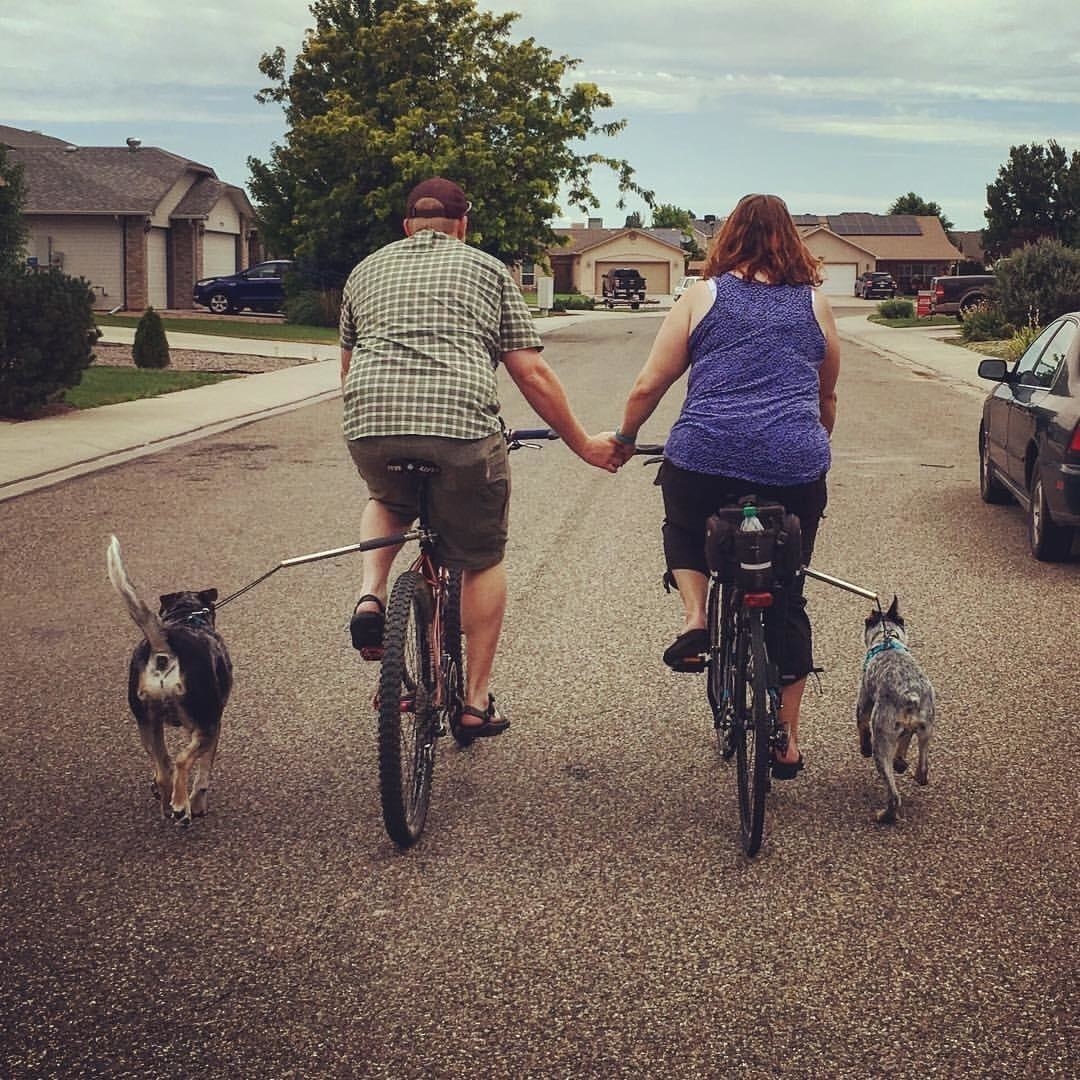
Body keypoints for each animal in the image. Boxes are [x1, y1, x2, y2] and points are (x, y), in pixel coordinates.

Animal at [106, 535, 231, 820]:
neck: (188, 617)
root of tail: (165, 644)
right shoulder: (212, 724)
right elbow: (203, 774)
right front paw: (197, 804)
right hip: (204, 722)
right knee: (181, 761)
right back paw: (181, 805)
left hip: (147, 723)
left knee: (164, 770)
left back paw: (168, 804)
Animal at [855, 596, 933, 820]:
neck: (887, 638)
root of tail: (910, 696)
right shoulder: (908, 730)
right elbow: (904, 743)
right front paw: (901, 762)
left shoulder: (863, 702)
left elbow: (862, 727)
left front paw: (863, 748)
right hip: (926, 729)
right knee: (922, 768)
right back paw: (910, 771)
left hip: (882, 742)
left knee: (894, 796)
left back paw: (884, 816)